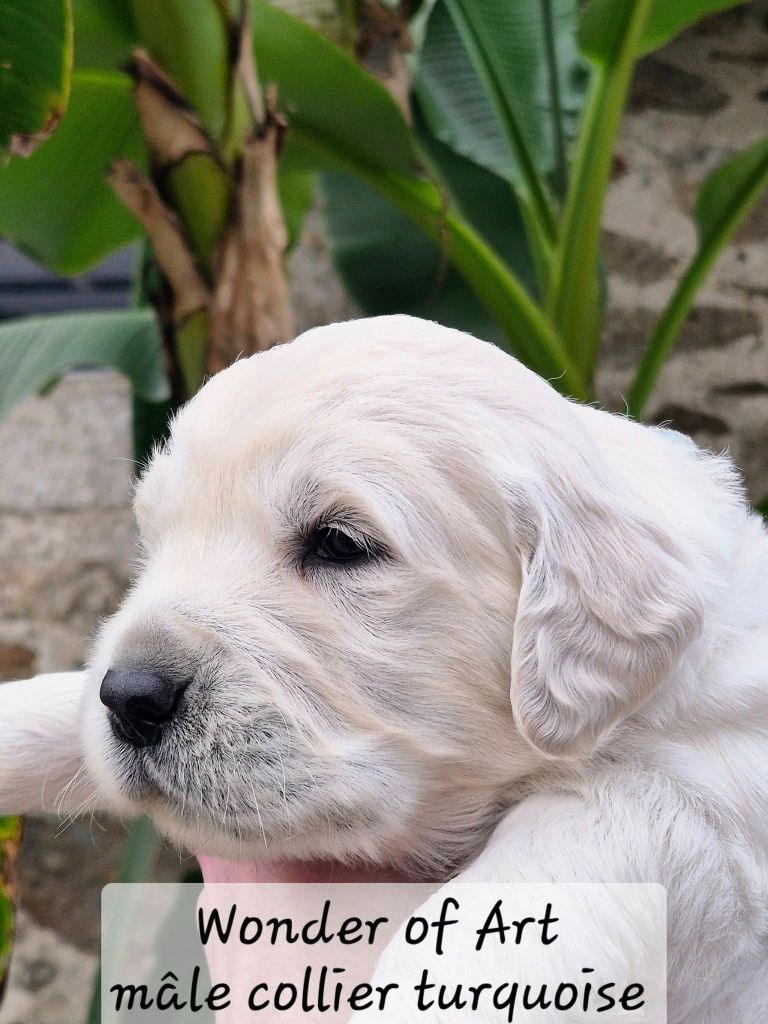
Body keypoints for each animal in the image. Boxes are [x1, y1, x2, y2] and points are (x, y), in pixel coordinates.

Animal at [1, 315, 768, 1019]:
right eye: (155, 539)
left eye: (340, 544)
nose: (131, 696)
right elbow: (60, 707)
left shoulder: (715, 808)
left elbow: (554, 872)